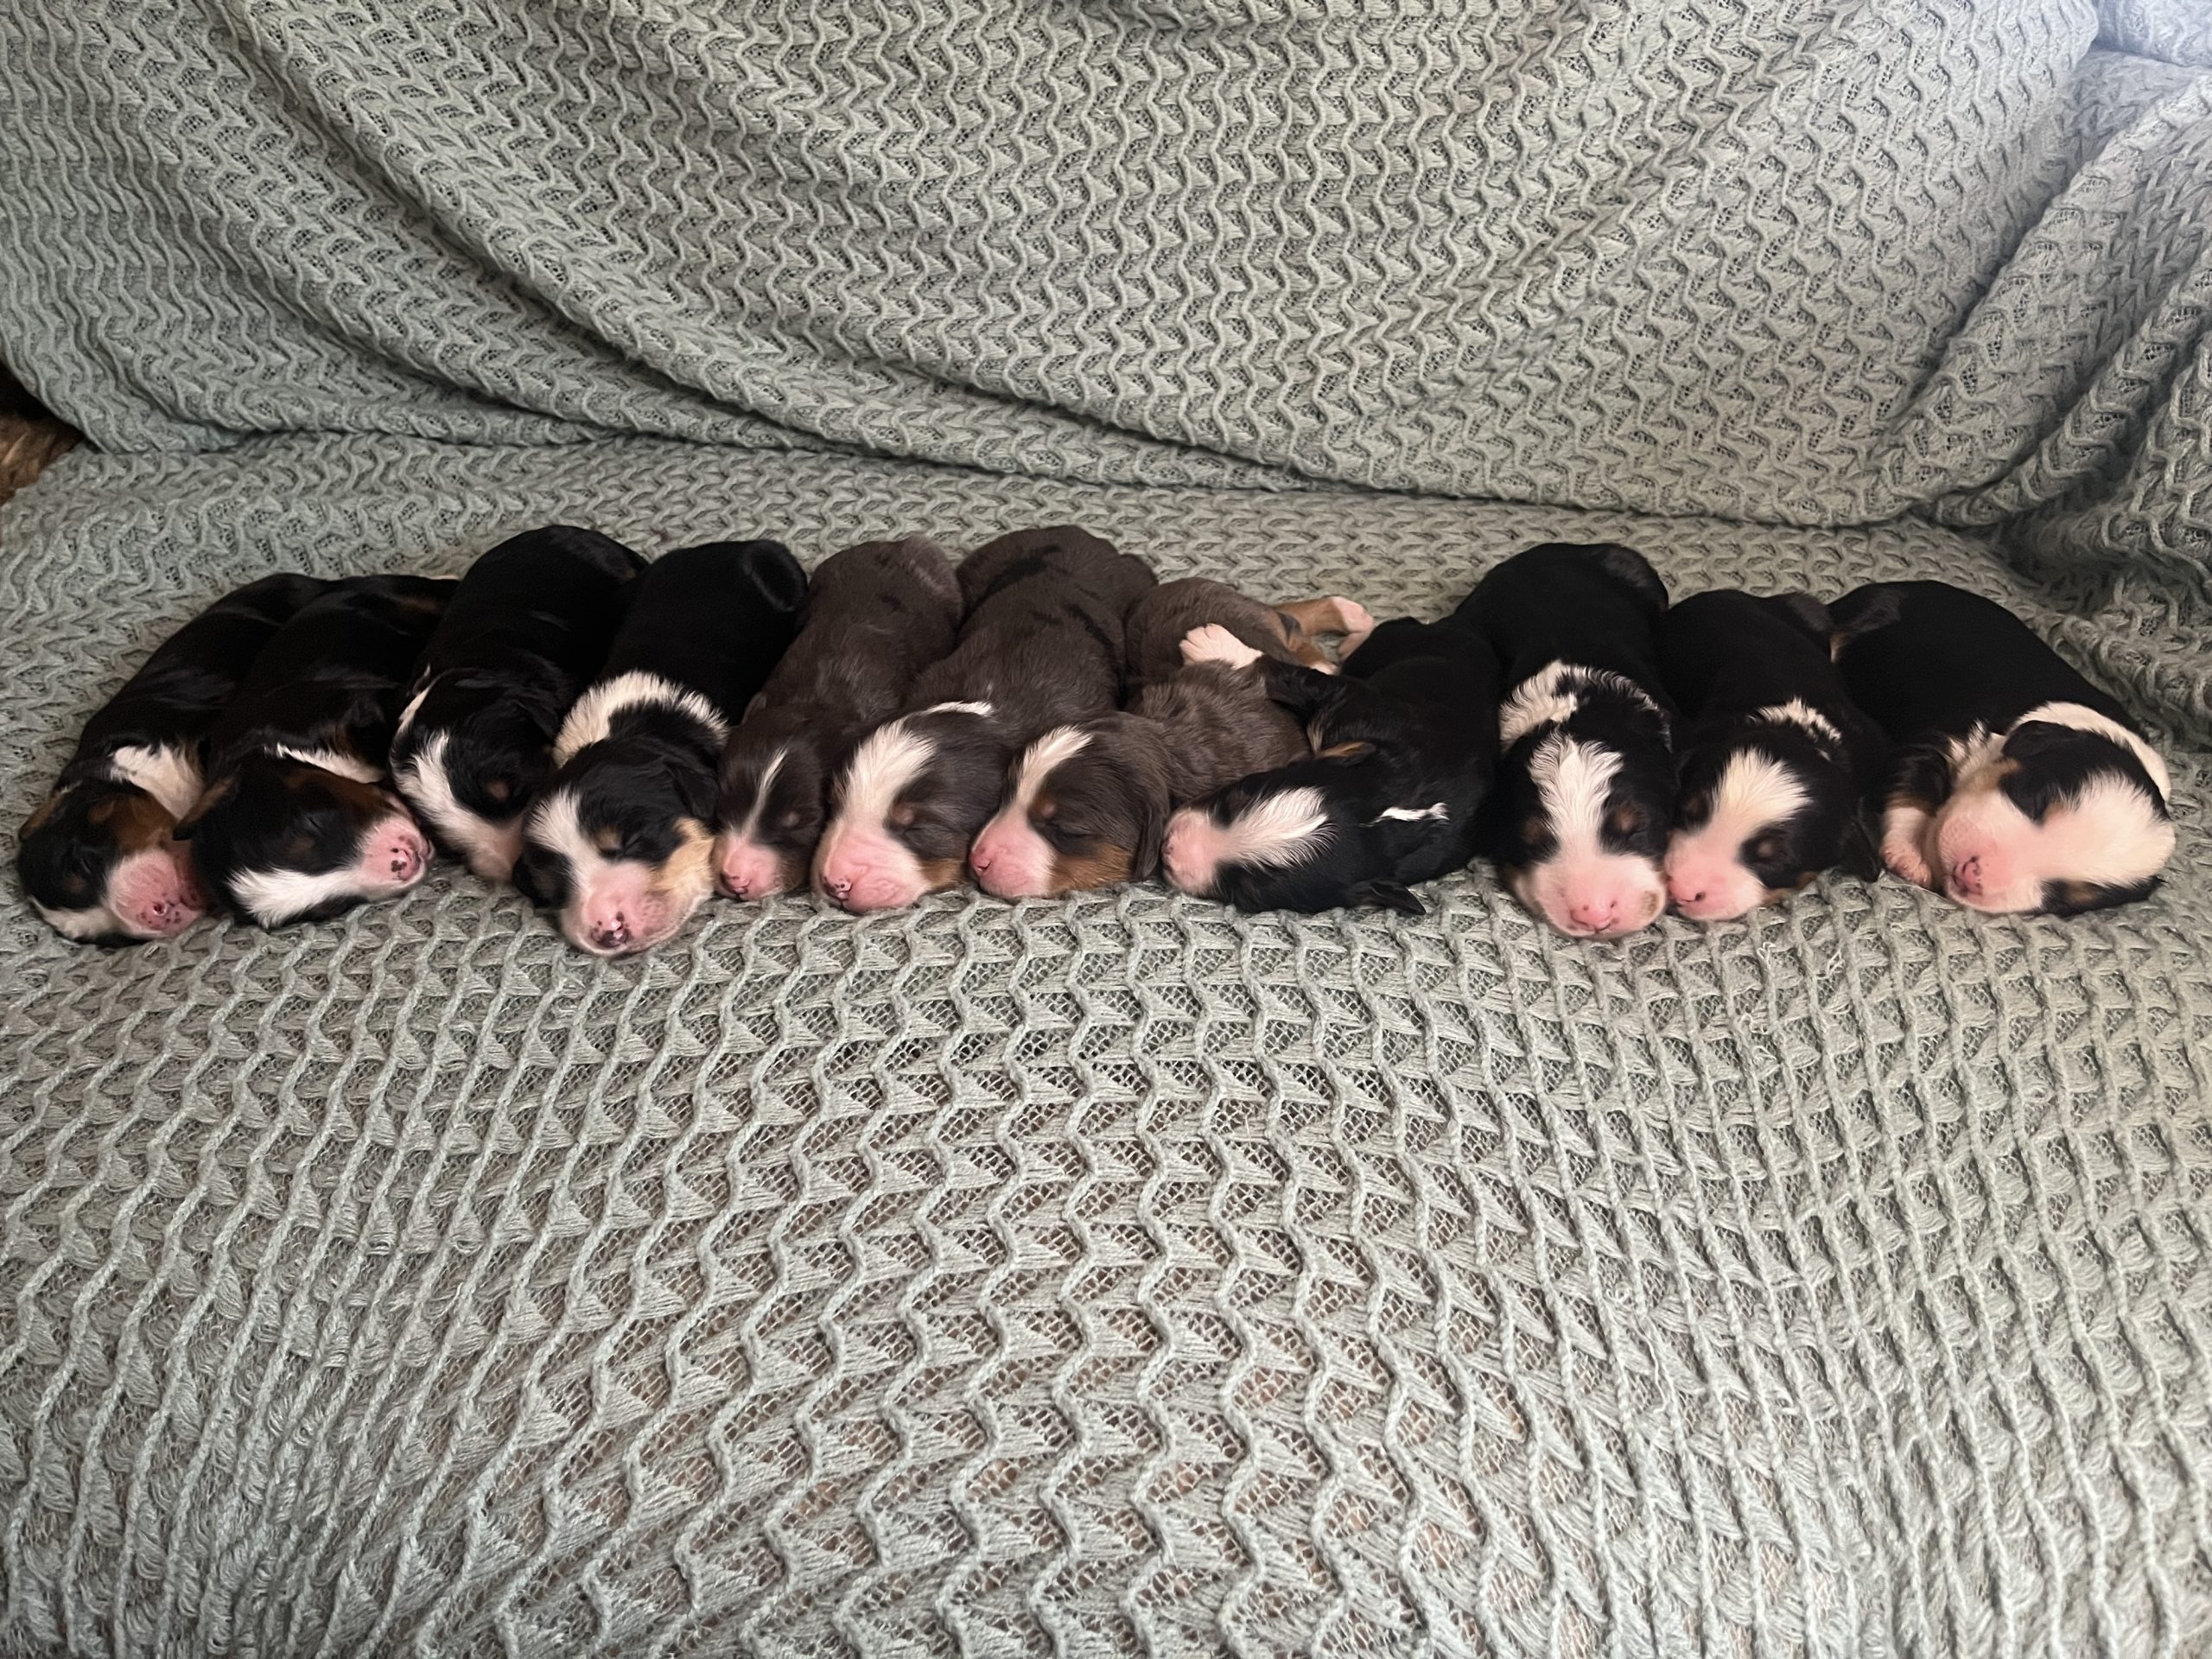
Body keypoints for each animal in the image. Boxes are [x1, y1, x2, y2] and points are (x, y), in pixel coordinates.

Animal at [966, 580, 1373, 899]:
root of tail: (1176, 584)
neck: (1170, 740)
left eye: (1066, 830)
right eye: (1006, 794)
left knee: (1287, 625)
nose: (977, 860)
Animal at [1160, 597, 1500, 916]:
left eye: (1249, 892)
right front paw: (1215, 642)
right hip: (1390, 642)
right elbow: (1286, 674)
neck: (1403, 806)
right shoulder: (1350, 705)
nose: (1168, 847)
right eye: (1237, 797)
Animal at [1831, 580, 2174, 915]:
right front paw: (1910, 853)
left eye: (2060, 897)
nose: (1971, 874)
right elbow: (1913, 778)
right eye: (2034, 799)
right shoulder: (1955, 736)